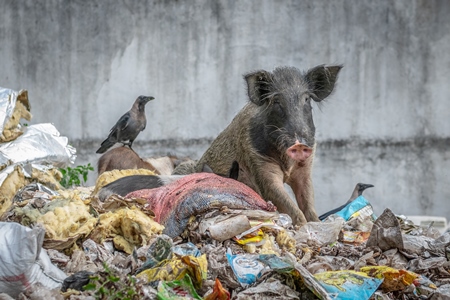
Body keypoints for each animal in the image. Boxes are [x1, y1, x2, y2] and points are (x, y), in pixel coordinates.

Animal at [192, 65, 342, 225]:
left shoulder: (306, 167)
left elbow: (308, 202)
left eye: (306, 99)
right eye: (276, 101)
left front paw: (317, 223)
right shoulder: (258, 163)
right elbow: (285, 202)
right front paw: (302, 225)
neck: (288, 165)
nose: (298, 144)